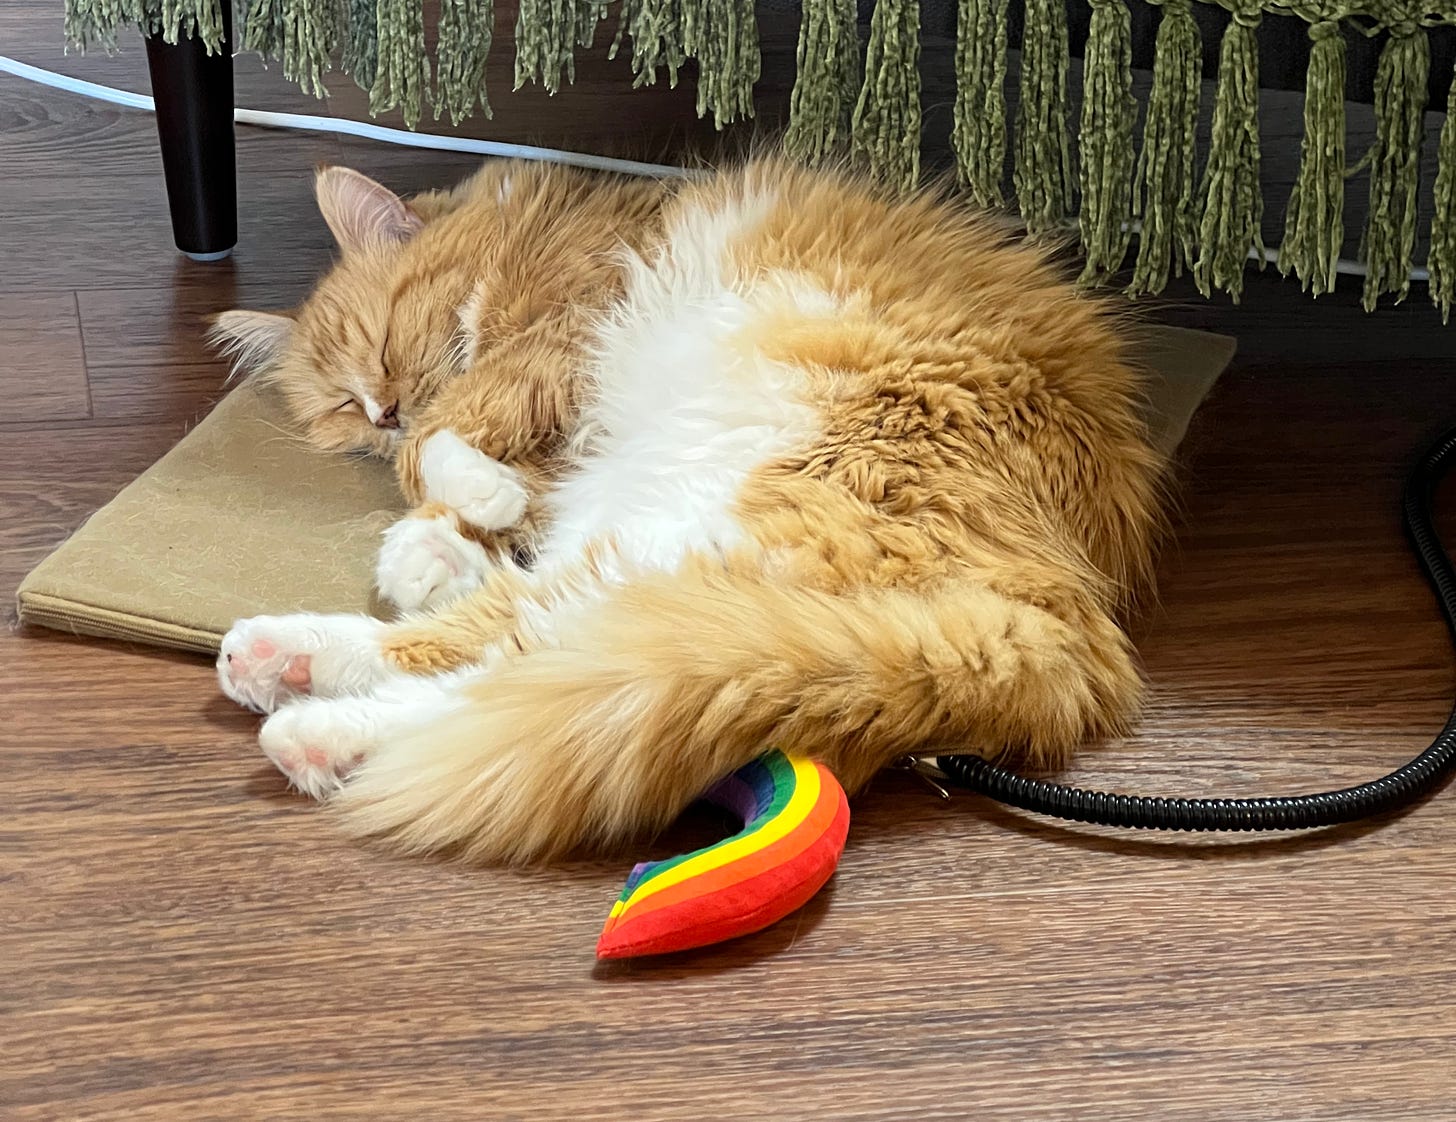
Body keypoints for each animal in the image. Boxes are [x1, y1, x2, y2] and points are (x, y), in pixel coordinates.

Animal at [211, 157, 1164, 867]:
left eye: (379, 347)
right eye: (342, 406)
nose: (381, 412)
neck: (528, 235)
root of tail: (1058, 615)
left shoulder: (557, 339)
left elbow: (443, 447)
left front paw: (460, 503)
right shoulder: (563, 448)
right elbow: (469, 504)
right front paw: (435, 548)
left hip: (723, 490)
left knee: (524, 657)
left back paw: (302, 703)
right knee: (517, 651)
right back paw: (293, 673)